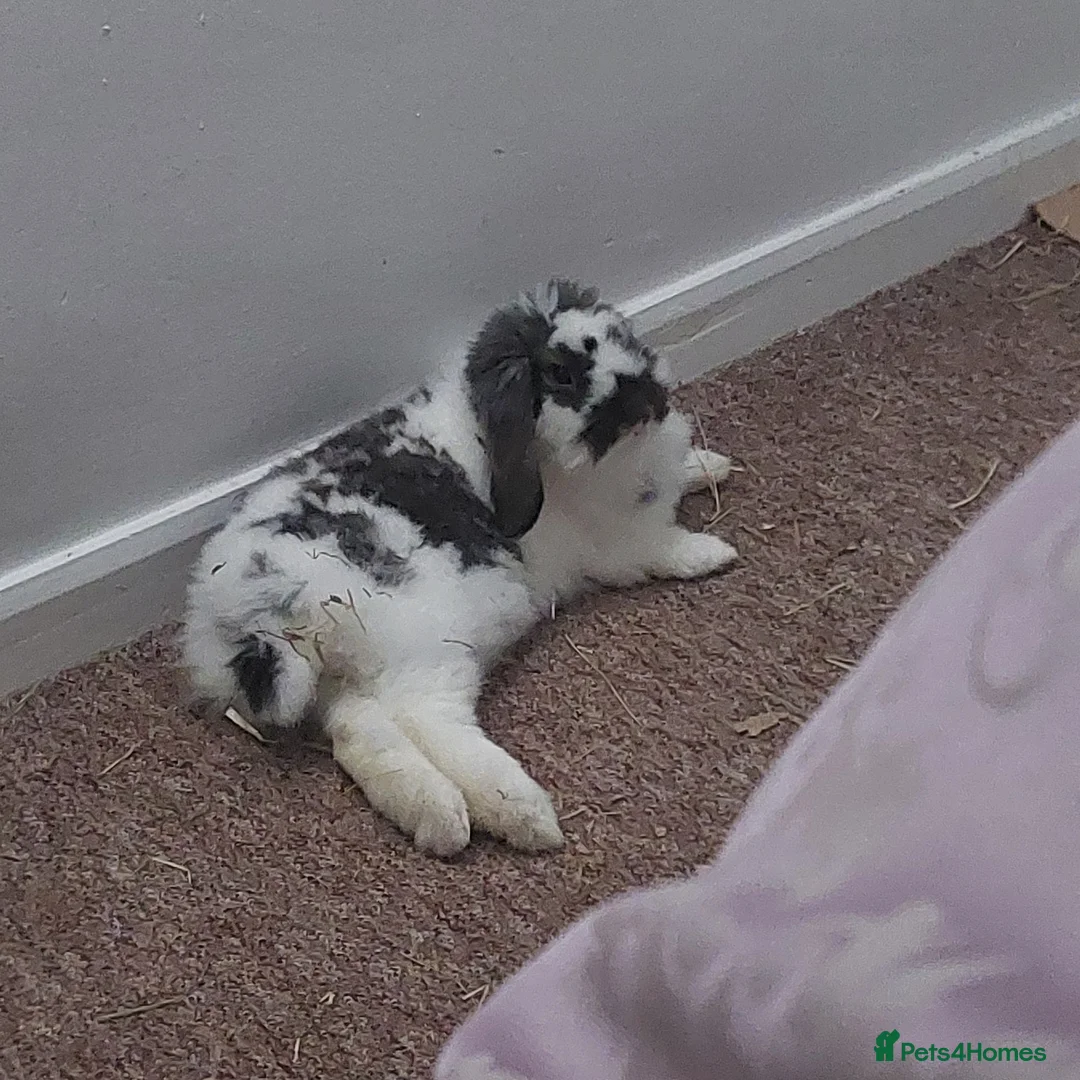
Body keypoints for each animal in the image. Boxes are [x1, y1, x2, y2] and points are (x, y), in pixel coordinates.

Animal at [180, 279, 737, 857]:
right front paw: (713, 552)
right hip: (429, 644)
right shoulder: (618, 543)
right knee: (427, 719)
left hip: (357, 675)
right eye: (560, 374)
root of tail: (251, 611)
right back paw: (522, 815)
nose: (646, 397)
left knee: (358, 731)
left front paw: (712, 465)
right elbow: (660, 548)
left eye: (620, 335)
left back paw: (437, 816)